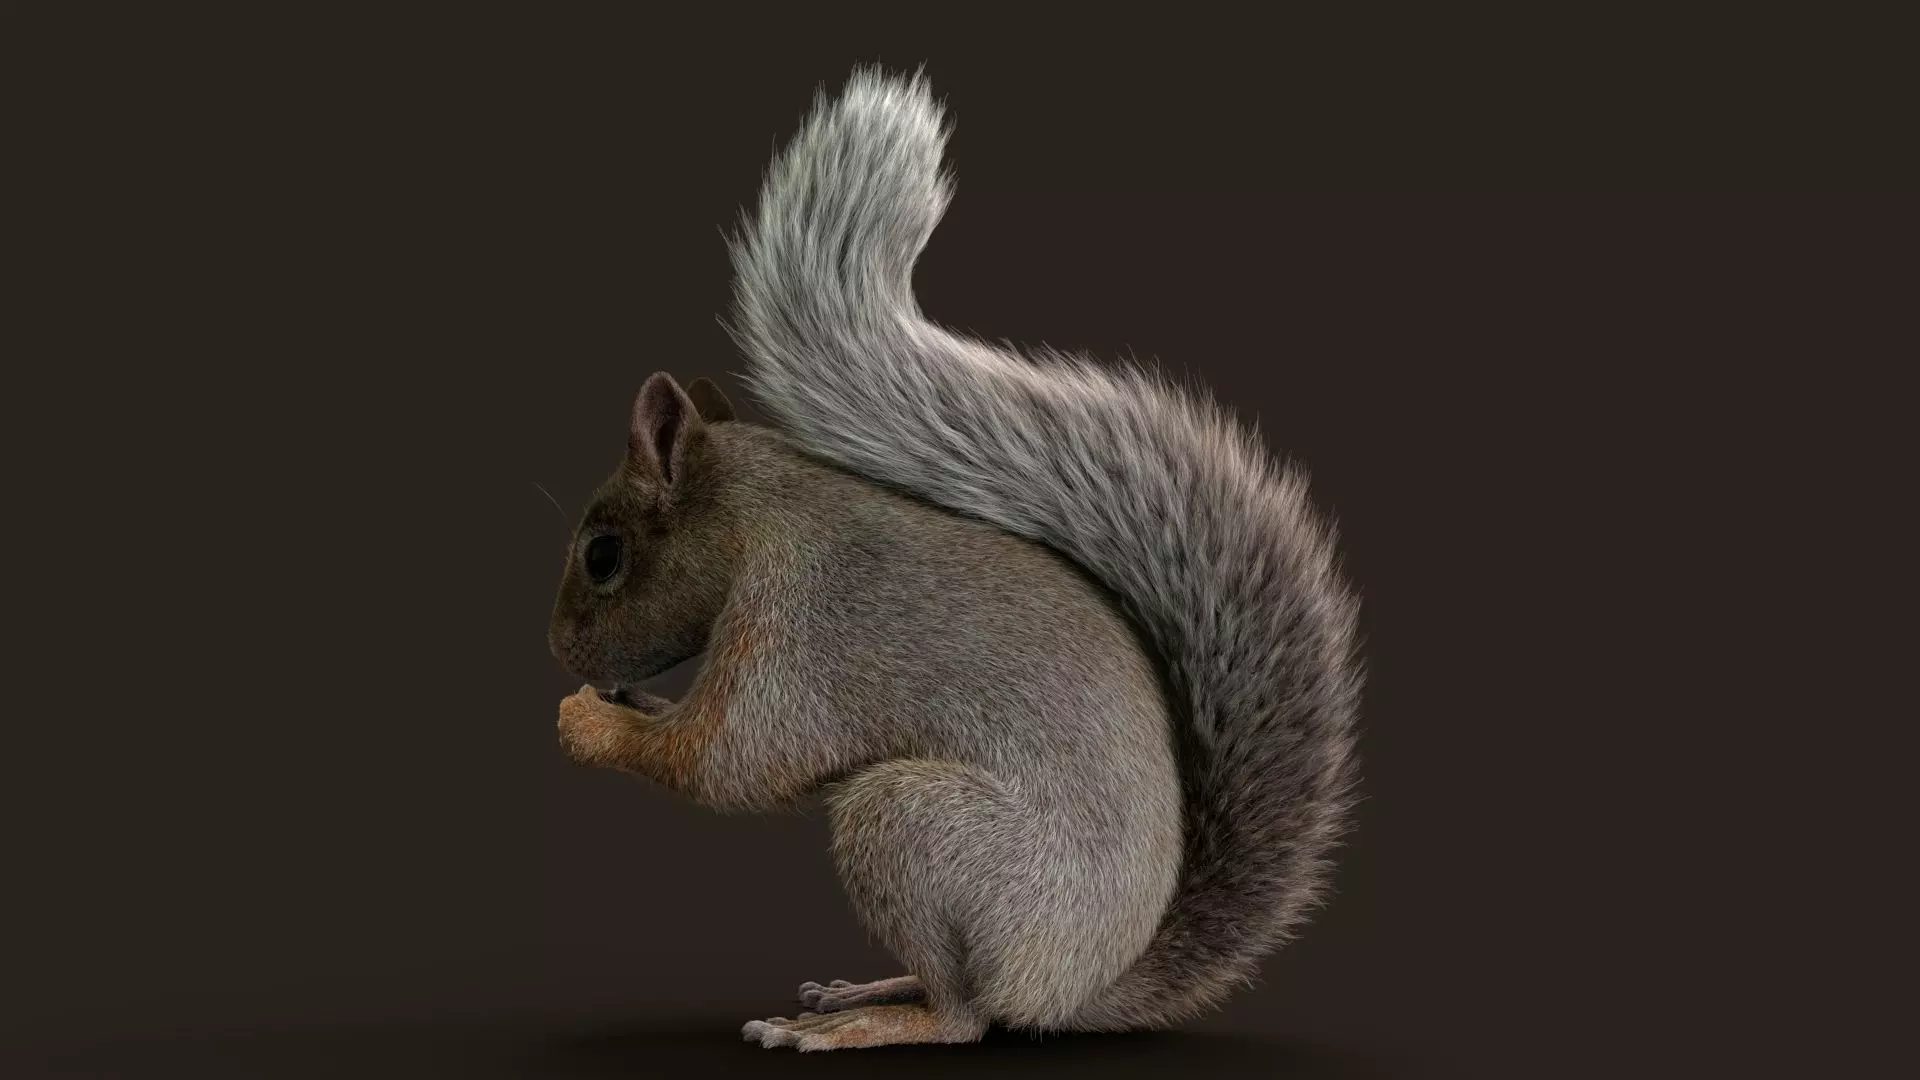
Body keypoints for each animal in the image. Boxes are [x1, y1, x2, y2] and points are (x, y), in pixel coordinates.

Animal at [547, 68, 1362, 1052]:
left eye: (604, 555)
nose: (558, 650)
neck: (762, 516)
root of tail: (1074, 988)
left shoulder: (799, 631)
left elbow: (730, 761)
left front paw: (587, 721)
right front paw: (619, 704)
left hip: (912, 827)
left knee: (966, 1016)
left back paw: (867, 1023)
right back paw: (871, 987)